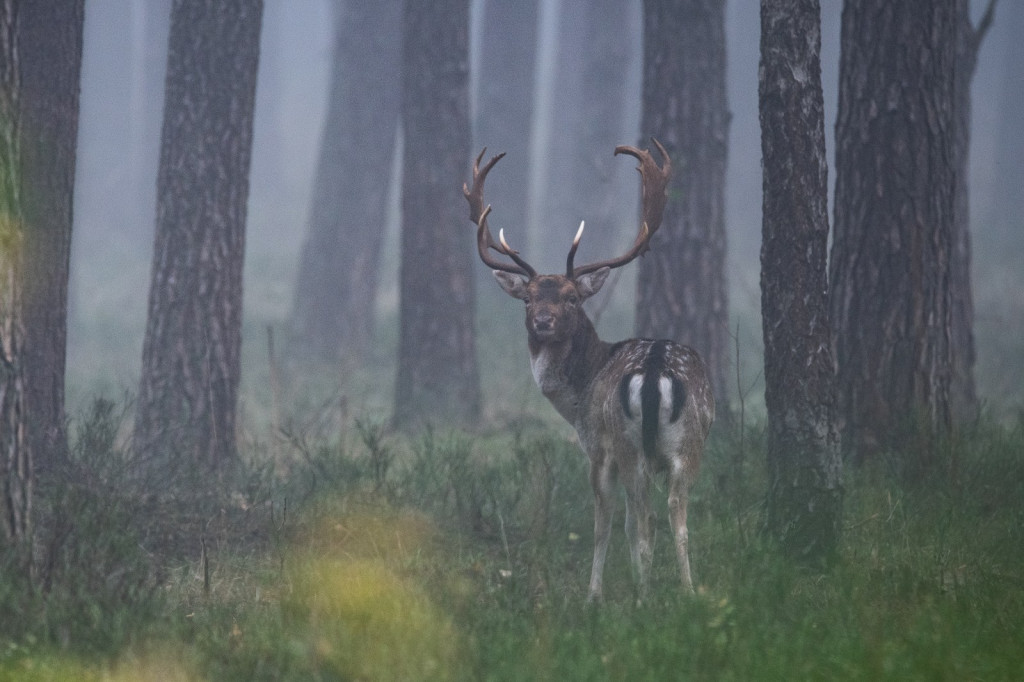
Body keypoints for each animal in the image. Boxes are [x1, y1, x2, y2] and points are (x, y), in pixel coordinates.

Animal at [464, 139, 712, 602]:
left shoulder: (597, 448)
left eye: (571, 298)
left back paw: (643, 596)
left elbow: (605, 523)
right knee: (676, 515)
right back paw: (688, 593)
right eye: (528, 299)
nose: (543, 322)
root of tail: (656, 369)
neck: (578, 395)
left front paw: (594, 594)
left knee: (642, 517)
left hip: (630, 445)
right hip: (690, 443)